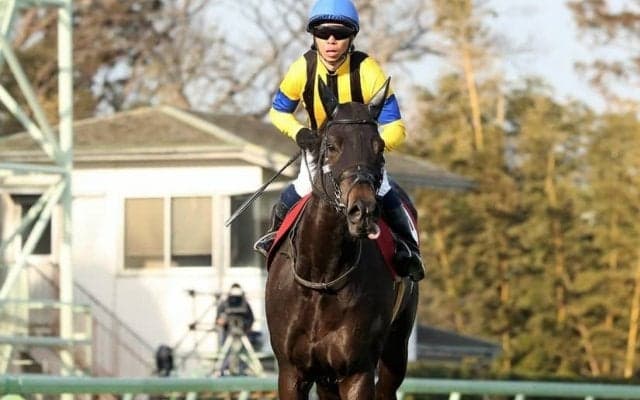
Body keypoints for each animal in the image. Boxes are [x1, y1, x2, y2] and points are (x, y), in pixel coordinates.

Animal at [265, 78, 419, 400]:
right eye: (332, 146)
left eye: (379, 147)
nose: (363, 210)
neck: (323, 277)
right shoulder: (291, 372)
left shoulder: (357, 372)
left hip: (396, 348)